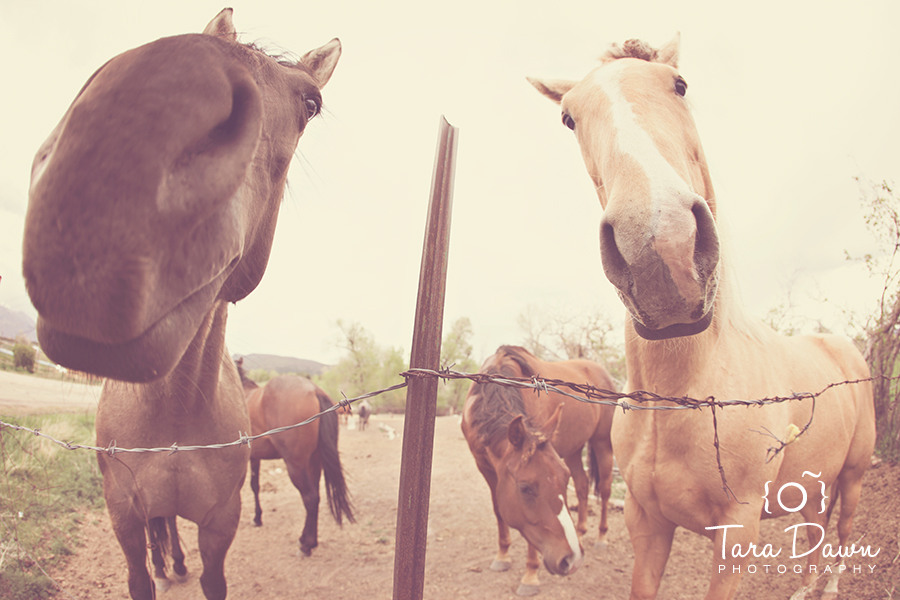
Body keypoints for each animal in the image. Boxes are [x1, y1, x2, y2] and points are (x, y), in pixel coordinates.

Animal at [21, 9, 344, 600]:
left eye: (310, 102)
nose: (138, 123)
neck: (172, 416)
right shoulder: (125, 516)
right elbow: (143, 567)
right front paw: (166, 564)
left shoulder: (219, 523)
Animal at [460, 346, 616, 596]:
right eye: (525, 488)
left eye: (562, 480)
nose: (572, 559)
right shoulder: (485, 468)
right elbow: (499, 510)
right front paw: (502, 556)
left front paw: (530, 576)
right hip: (574, 450)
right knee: (582, 485)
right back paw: (581, 531)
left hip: (602, 443)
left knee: (605, 488)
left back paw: (601, 536)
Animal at [532, 36, 876, 600]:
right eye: (568, 118)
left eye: (680, 84)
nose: (661, 246)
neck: (683, 394)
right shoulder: (647, 525)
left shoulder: (737, 532)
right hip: (814, 484)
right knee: (814, 534)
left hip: (852, 477)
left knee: (843, 535)